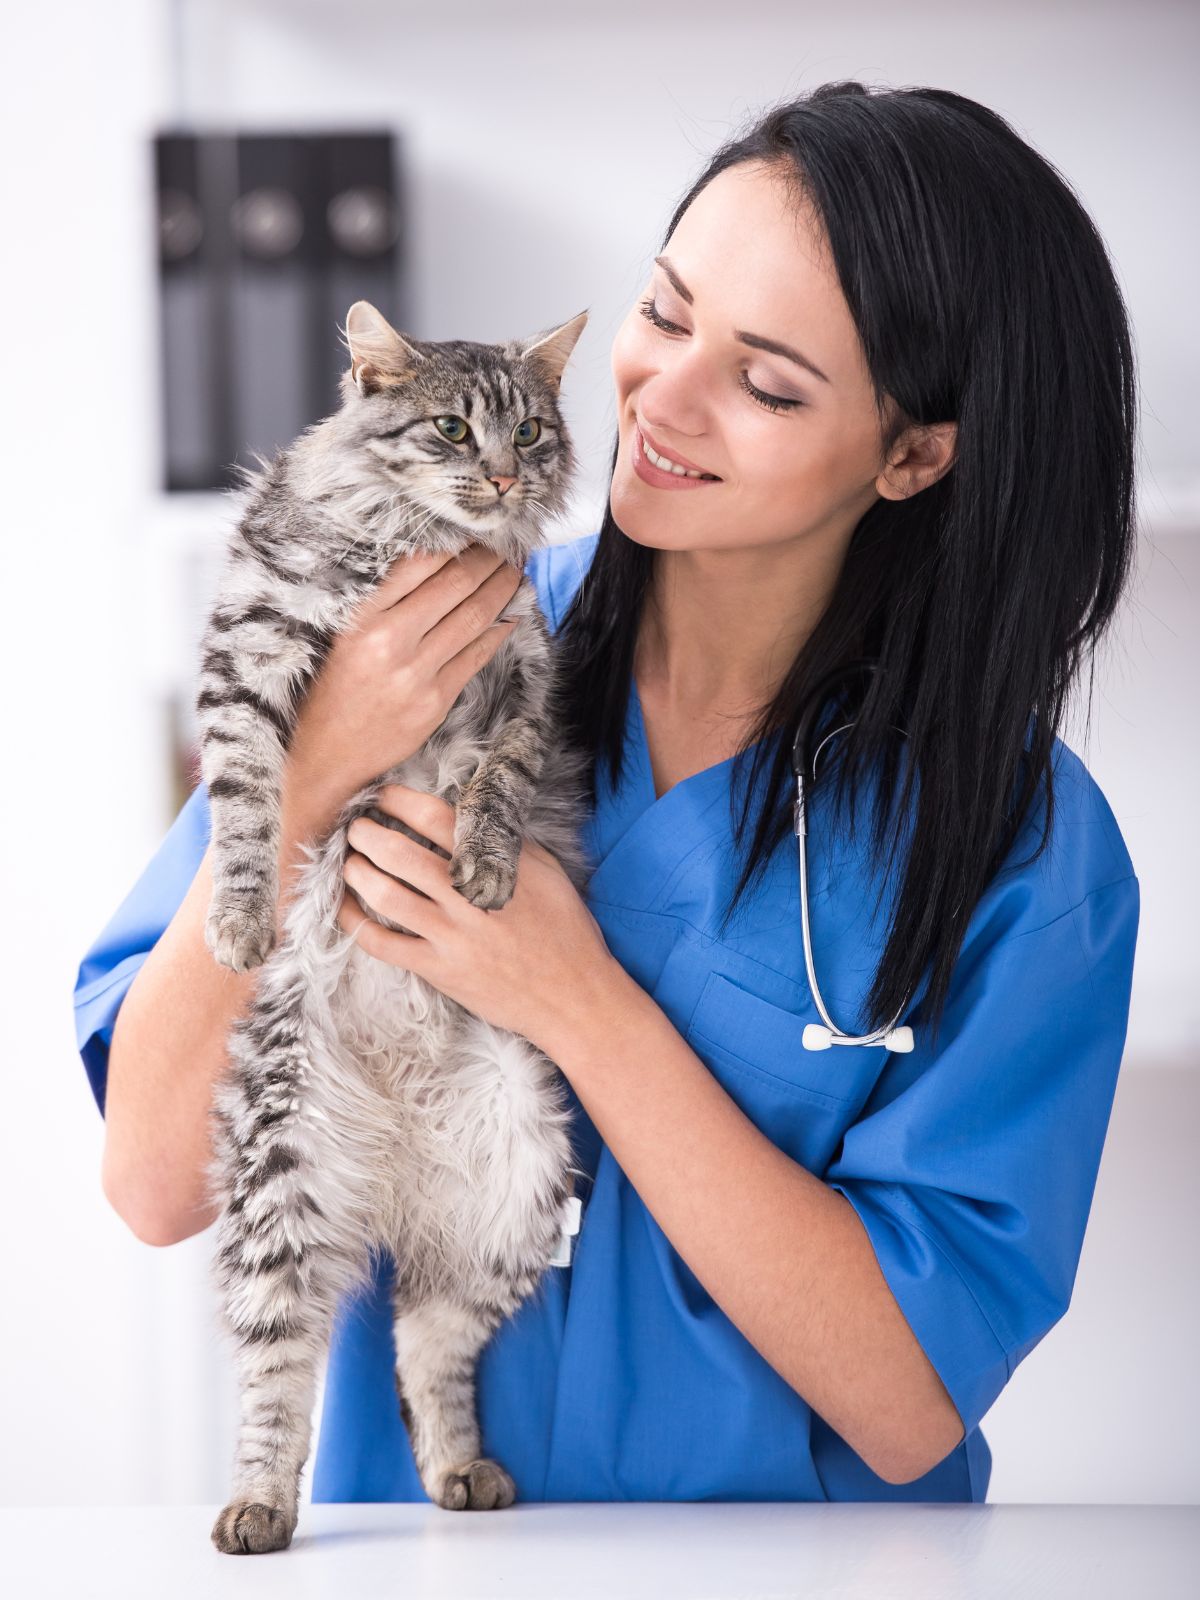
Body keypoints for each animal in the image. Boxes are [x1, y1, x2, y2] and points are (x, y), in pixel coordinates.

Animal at [200, 297, 598, 1548]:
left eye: (530, 428)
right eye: (451, 429)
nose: (508, 473)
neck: (418, 547)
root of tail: (393, 1174)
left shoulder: (522, 668)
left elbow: (501, 779)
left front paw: (482, 869)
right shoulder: (254, 646)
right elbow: (248, 803)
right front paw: (240, 921)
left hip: (519, 1189)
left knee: (428, 1350)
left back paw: (467, 1478)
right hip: (283, 1193)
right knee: (281, 1376)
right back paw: (256, 1509)